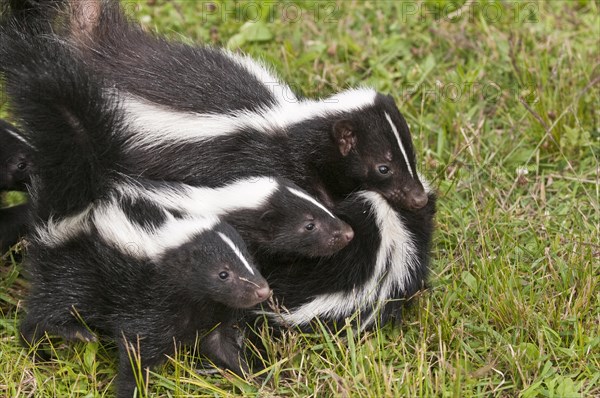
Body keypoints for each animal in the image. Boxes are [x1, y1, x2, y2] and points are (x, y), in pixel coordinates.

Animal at [21, 218, 270, 398]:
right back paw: (60, 339)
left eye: (250, 261)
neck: (195, 302)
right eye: (223, 274)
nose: (263, 290)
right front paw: (130, 392)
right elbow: (136, 354)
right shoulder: (150, 310)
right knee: (46, 311)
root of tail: (54, 236)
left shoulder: (208, 316)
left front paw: (256, 380)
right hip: (75, 278)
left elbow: (222, 347)